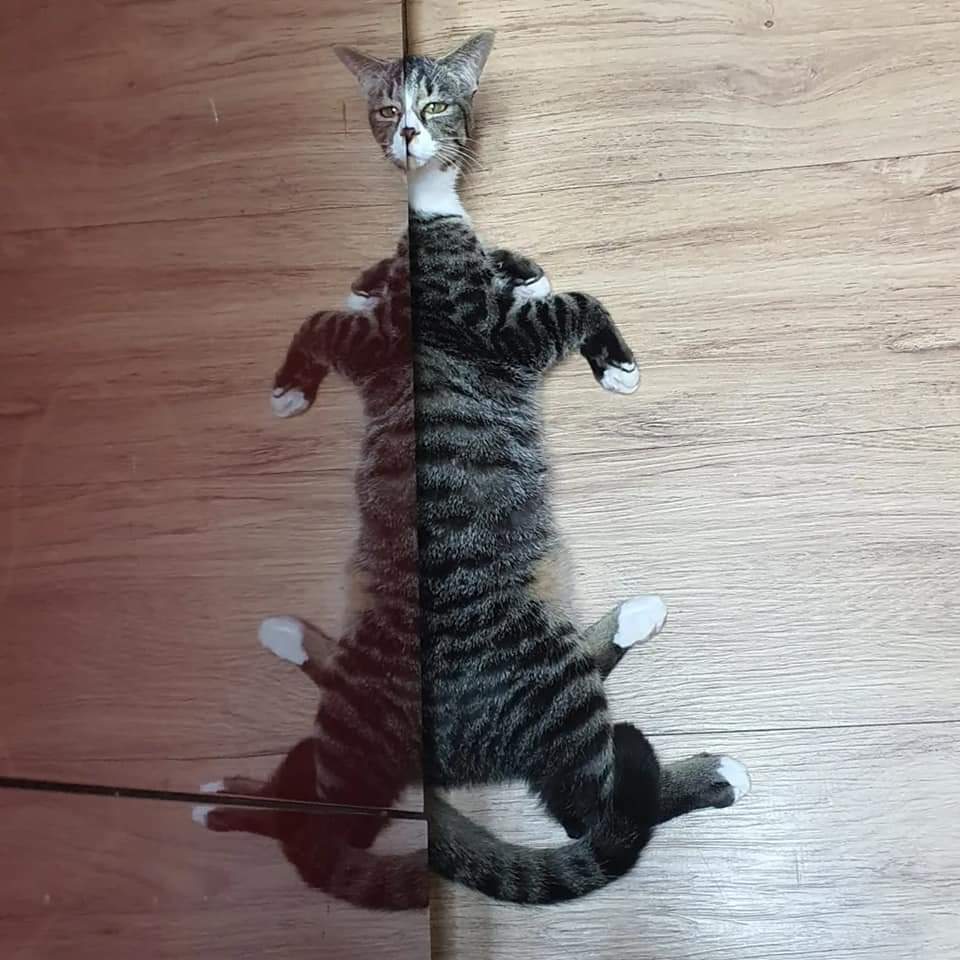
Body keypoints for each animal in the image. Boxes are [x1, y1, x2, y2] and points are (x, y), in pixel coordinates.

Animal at [194, 31, 750, 909]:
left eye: (436, 103)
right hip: (534, 690)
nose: (408, 135)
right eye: (385, 108)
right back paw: (709, 769)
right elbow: (574, 299)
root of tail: (443, 762)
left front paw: (510, 266)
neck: (428, 212)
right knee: (581, 814)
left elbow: (375, 295)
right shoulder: (473, 336)